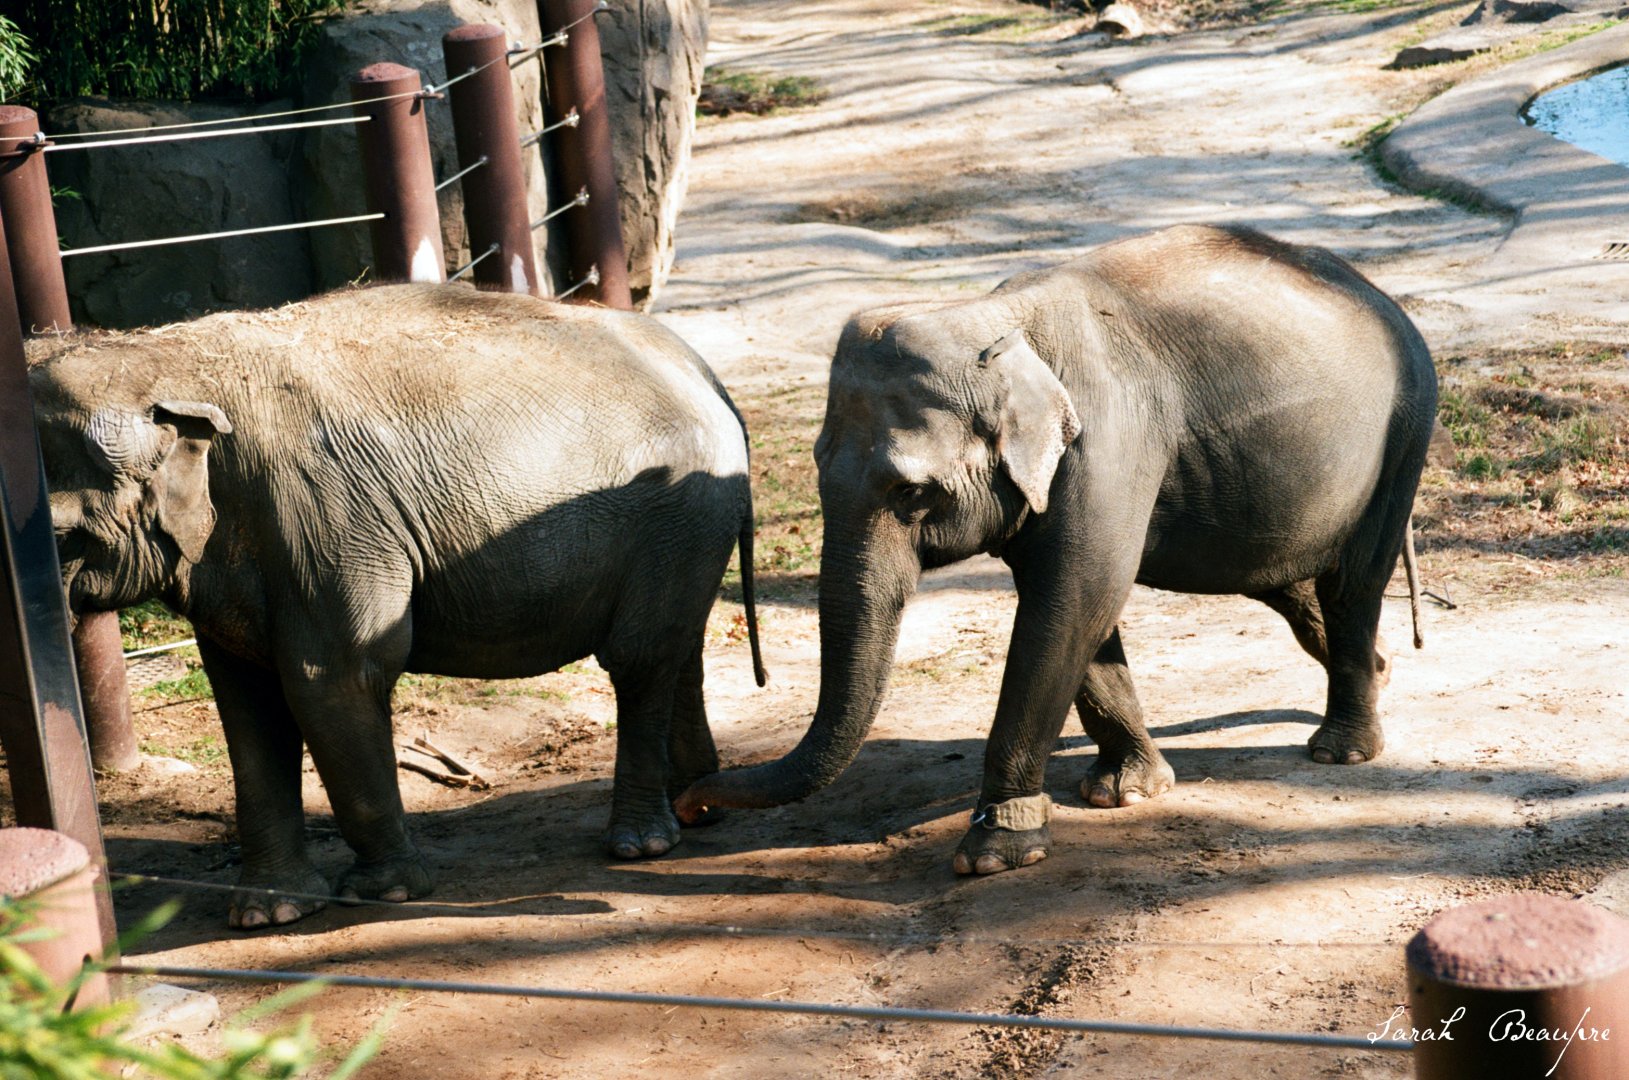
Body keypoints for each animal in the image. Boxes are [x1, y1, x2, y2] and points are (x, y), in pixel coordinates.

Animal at [28, 283, 764, 928]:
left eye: (59, 536)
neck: (166, 356)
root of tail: (703, 370)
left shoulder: (321, 518)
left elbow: (333, 678)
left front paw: (384, 895)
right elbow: (246, 702)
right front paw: (267, 914)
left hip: (676, 512)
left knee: (639, 657)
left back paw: (641, 845)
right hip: (687, 527)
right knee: (679, 647)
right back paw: (696, 803)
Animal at [676, 224, 1435, 877]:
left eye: (910, 492)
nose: (690, 804)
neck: (994, 321)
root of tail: (1377, 292)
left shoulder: (1107, 443)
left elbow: (1072, 600)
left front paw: (994, 853)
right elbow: (1084, 613)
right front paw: (1127, 791)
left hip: (1404, 431)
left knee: (1350, 585)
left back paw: (1342, 749)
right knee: (1287, 583)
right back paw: (1379, 669)